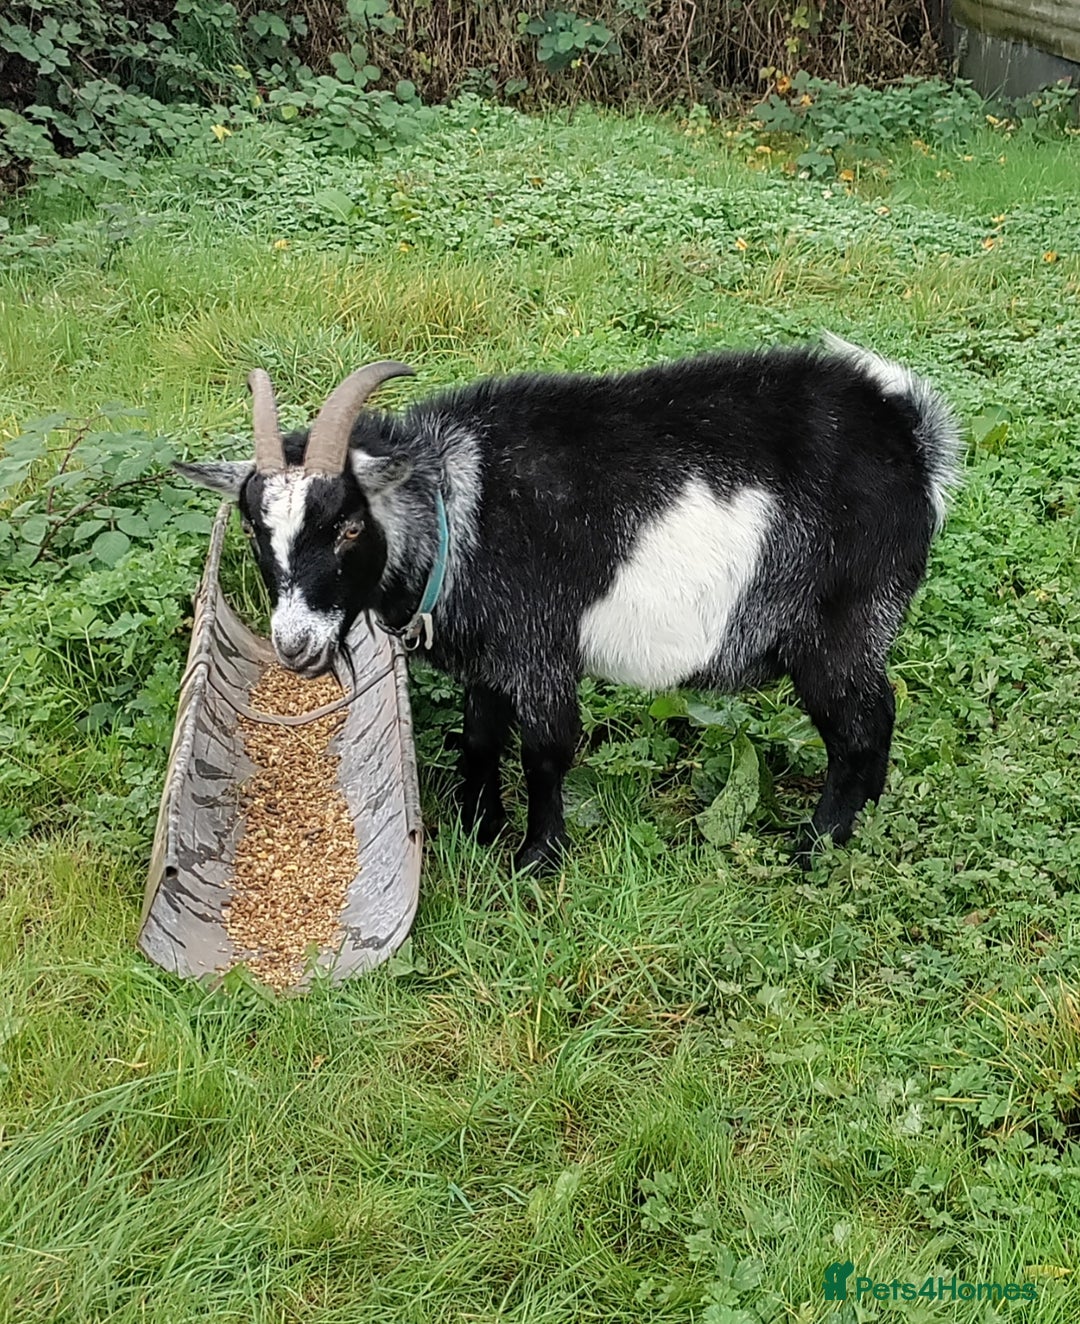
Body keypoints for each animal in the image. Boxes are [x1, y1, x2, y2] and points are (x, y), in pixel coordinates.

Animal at [175, 334, 960, 873]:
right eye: (255, 528)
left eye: (346, 525)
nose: (295, 644)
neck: (461, 506)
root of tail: (910, 433)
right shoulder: (491, 659)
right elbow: (481, 738)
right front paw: (480, 830)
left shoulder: (540, 647)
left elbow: (546, 749)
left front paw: (536, 860)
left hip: (842, 623)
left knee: (862, 724)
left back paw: (818, 846)